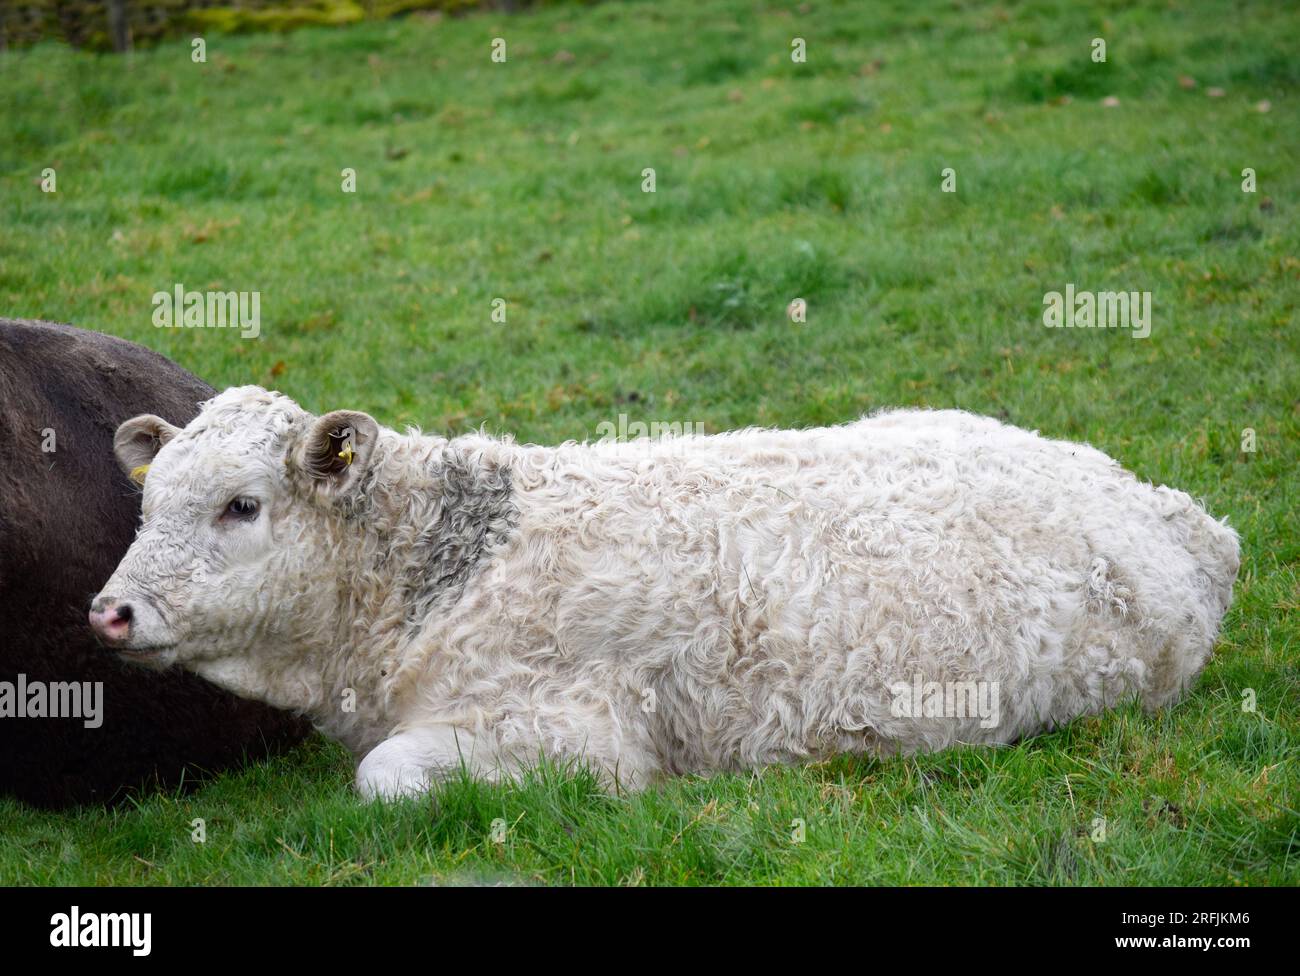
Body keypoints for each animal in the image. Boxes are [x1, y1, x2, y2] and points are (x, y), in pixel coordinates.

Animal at [90, 386, 1240, 800]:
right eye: (151, 503)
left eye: (241, 505)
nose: (111, 609)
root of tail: (1179, 513)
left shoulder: (573, 731)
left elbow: (383, 777)